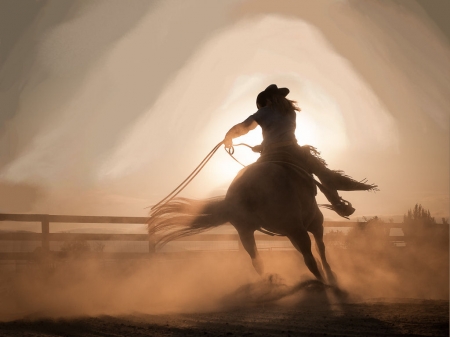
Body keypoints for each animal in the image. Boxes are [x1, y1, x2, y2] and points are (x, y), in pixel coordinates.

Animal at [149, 160, 336, 284]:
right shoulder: (313, 225)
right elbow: (320, 248)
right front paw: (330, 274)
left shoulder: (293, 232)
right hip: (293, 228)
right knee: (307, 256)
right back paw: (321, 279)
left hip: (246, 231)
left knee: (257, 260)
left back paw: (272, 280)